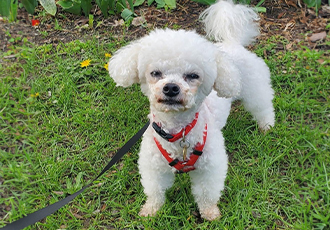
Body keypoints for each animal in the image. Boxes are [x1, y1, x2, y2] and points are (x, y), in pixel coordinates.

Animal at [107, 0, 274, 220]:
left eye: (193, 75)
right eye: (155, 73)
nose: (171, 88)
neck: (178, 132)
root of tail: (231, 42)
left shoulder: (210, 167)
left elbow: (206, 192)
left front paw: (210, 214)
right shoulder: (154, 167)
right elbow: (155, 190)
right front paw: (151, 210)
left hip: (254, 87)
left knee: (262, 105)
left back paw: (267, 126)